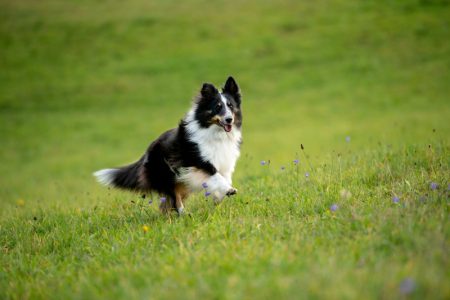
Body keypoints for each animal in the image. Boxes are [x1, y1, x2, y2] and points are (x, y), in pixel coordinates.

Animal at [94, 77, 243, 213]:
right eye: (218, 107)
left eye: (230, 105)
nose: (229, 119)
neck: (215, 132)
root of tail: (147, 152)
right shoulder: (197, 161)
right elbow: (216, 176)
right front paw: (230, 190)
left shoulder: (224, 162)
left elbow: (222, 178)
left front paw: (220, 197)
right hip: (167, 176)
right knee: (174, 199)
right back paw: (183, 214)